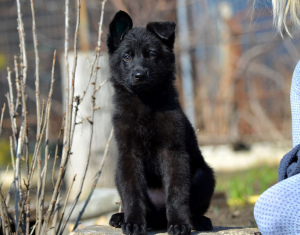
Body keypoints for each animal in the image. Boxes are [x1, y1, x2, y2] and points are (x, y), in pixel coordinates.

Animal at [106, 10, 214, 235]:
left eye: (152, 55)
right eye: (127, 56)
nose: (139, 75)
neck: (145, 102)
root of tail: (157, 218)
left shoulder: (173, 151)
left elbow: (177, 193)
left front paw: (179, 224)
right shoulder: (128, 155)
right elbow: (132, 193)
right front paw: (133, 222)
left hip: (204, 176)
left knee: (193, 207)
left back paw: (198, 221)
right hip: (117, 174)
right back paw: (120, 217)